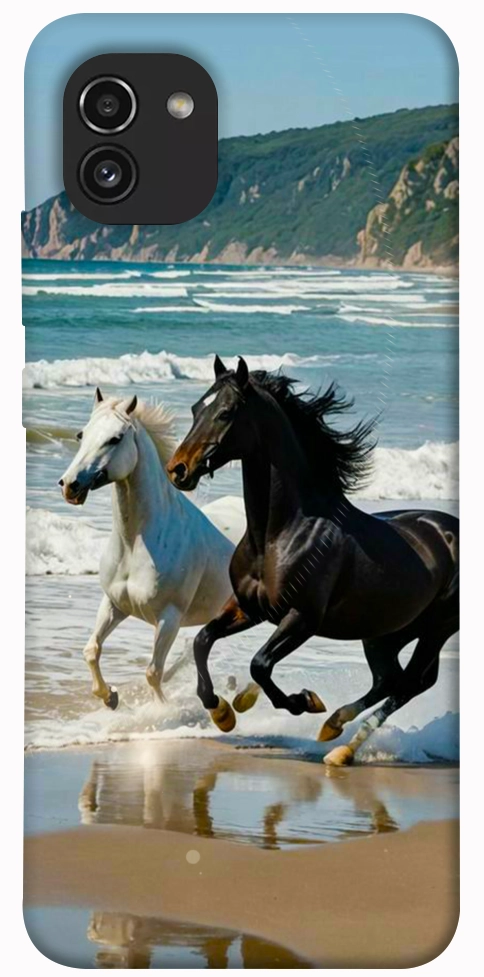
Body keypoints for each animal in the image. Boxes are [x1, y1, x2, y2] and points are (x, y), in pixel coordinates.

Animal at [59, 387, 234, 709]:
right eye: (81, 434)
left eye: (115, 438)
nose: (70, 485)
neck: (135, 544)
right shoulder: (114, 604)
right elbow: (91, 650)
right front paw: (110, 697)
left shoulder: (169, 618)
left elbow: (153, 672)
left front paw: (161, 711)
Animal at [166, 356, 459, 765]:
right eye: (196, 409)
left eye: (225, 413)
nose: (178, 469)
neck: (280, 534)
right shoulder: (248, 608)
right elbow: (202, 640)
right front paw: (223, 711)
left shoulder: (302, 618)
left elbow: (260, 664)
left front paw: (303, 701)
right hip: (386, 632)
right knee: (390, 679)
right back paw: (334, 729)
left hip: (436, 629)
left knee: (411, 683)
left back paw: (341, 746)